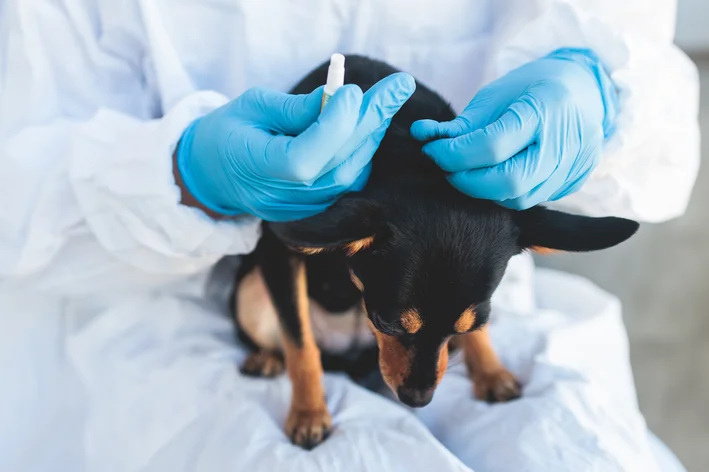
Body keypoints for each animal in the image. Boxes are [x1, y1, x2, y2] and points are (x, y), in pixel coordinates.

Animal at [231, 57, 636, 448]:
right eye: (386, 323)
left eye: (475, 324)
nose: (418, 399)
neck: (408, 152)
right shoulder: (279, 252)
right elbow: (299, 343)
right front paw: (309, 413)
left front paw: (489, 370)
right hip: (252, 292)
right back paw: (268, 358)